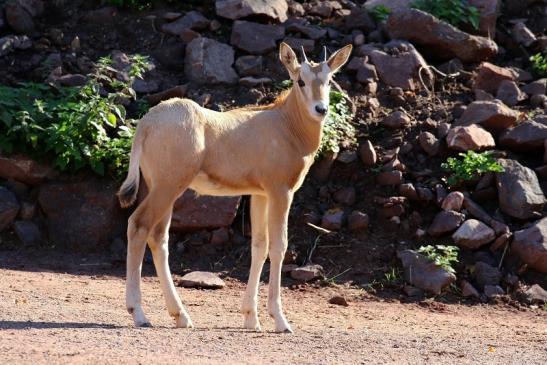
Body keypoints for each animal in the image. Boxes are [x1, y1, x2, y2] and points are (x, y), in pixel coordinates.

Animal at [117, 41, 354, 332]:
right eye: (301, 81)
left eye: (329, 80)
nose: (321, 109)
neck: (286, 124)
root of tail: (147, 124)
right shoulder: (281, 192)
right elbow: (279, 247)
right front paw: (280, 320)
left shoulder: (259, 194)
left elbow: (259, 247)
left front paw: (251, 318)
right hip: (167, 187)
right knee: (139, 225)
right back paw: (139, 313)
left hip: (163, 189)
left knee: (159, 237)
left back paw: (181, 316)